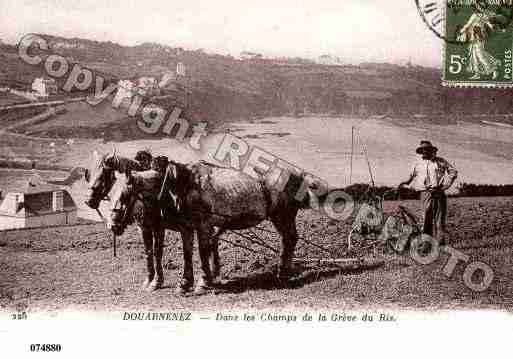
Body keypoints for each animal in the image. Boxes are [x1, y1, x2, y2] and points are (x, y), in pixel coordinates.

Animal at [108, 160, 318, 296]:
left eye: (125, 195)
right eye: (110, 193)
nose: (112, 225)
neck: (179, 186)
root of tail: (298, 175)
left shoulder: (203, 226)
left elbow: (202, 252)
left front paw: (203, 283)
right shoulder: (184, 228)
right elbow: (186, 253)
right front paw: (183, 284)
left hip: (283, 216)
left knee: (289, 239)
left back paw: (283, 273)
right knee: (288, 240)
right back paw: (282, 272)